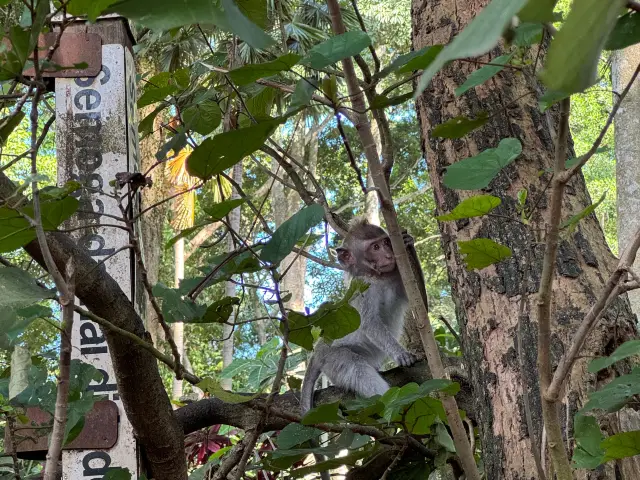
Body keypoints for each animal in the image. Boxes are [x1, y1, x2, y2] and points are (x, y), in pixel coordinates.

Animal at [302, 219, 418, 414]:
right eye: (375, 247)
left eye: (386, 243)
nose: (389, 255)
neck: (377, 277)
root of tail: (318, 350)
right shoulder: (362, 288)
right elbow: (369, 323)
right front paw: (400, 353)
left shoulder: (396, 274)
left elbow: (420, 303)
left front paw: (408, 242)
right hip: (332, 358)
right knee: (356, 368)